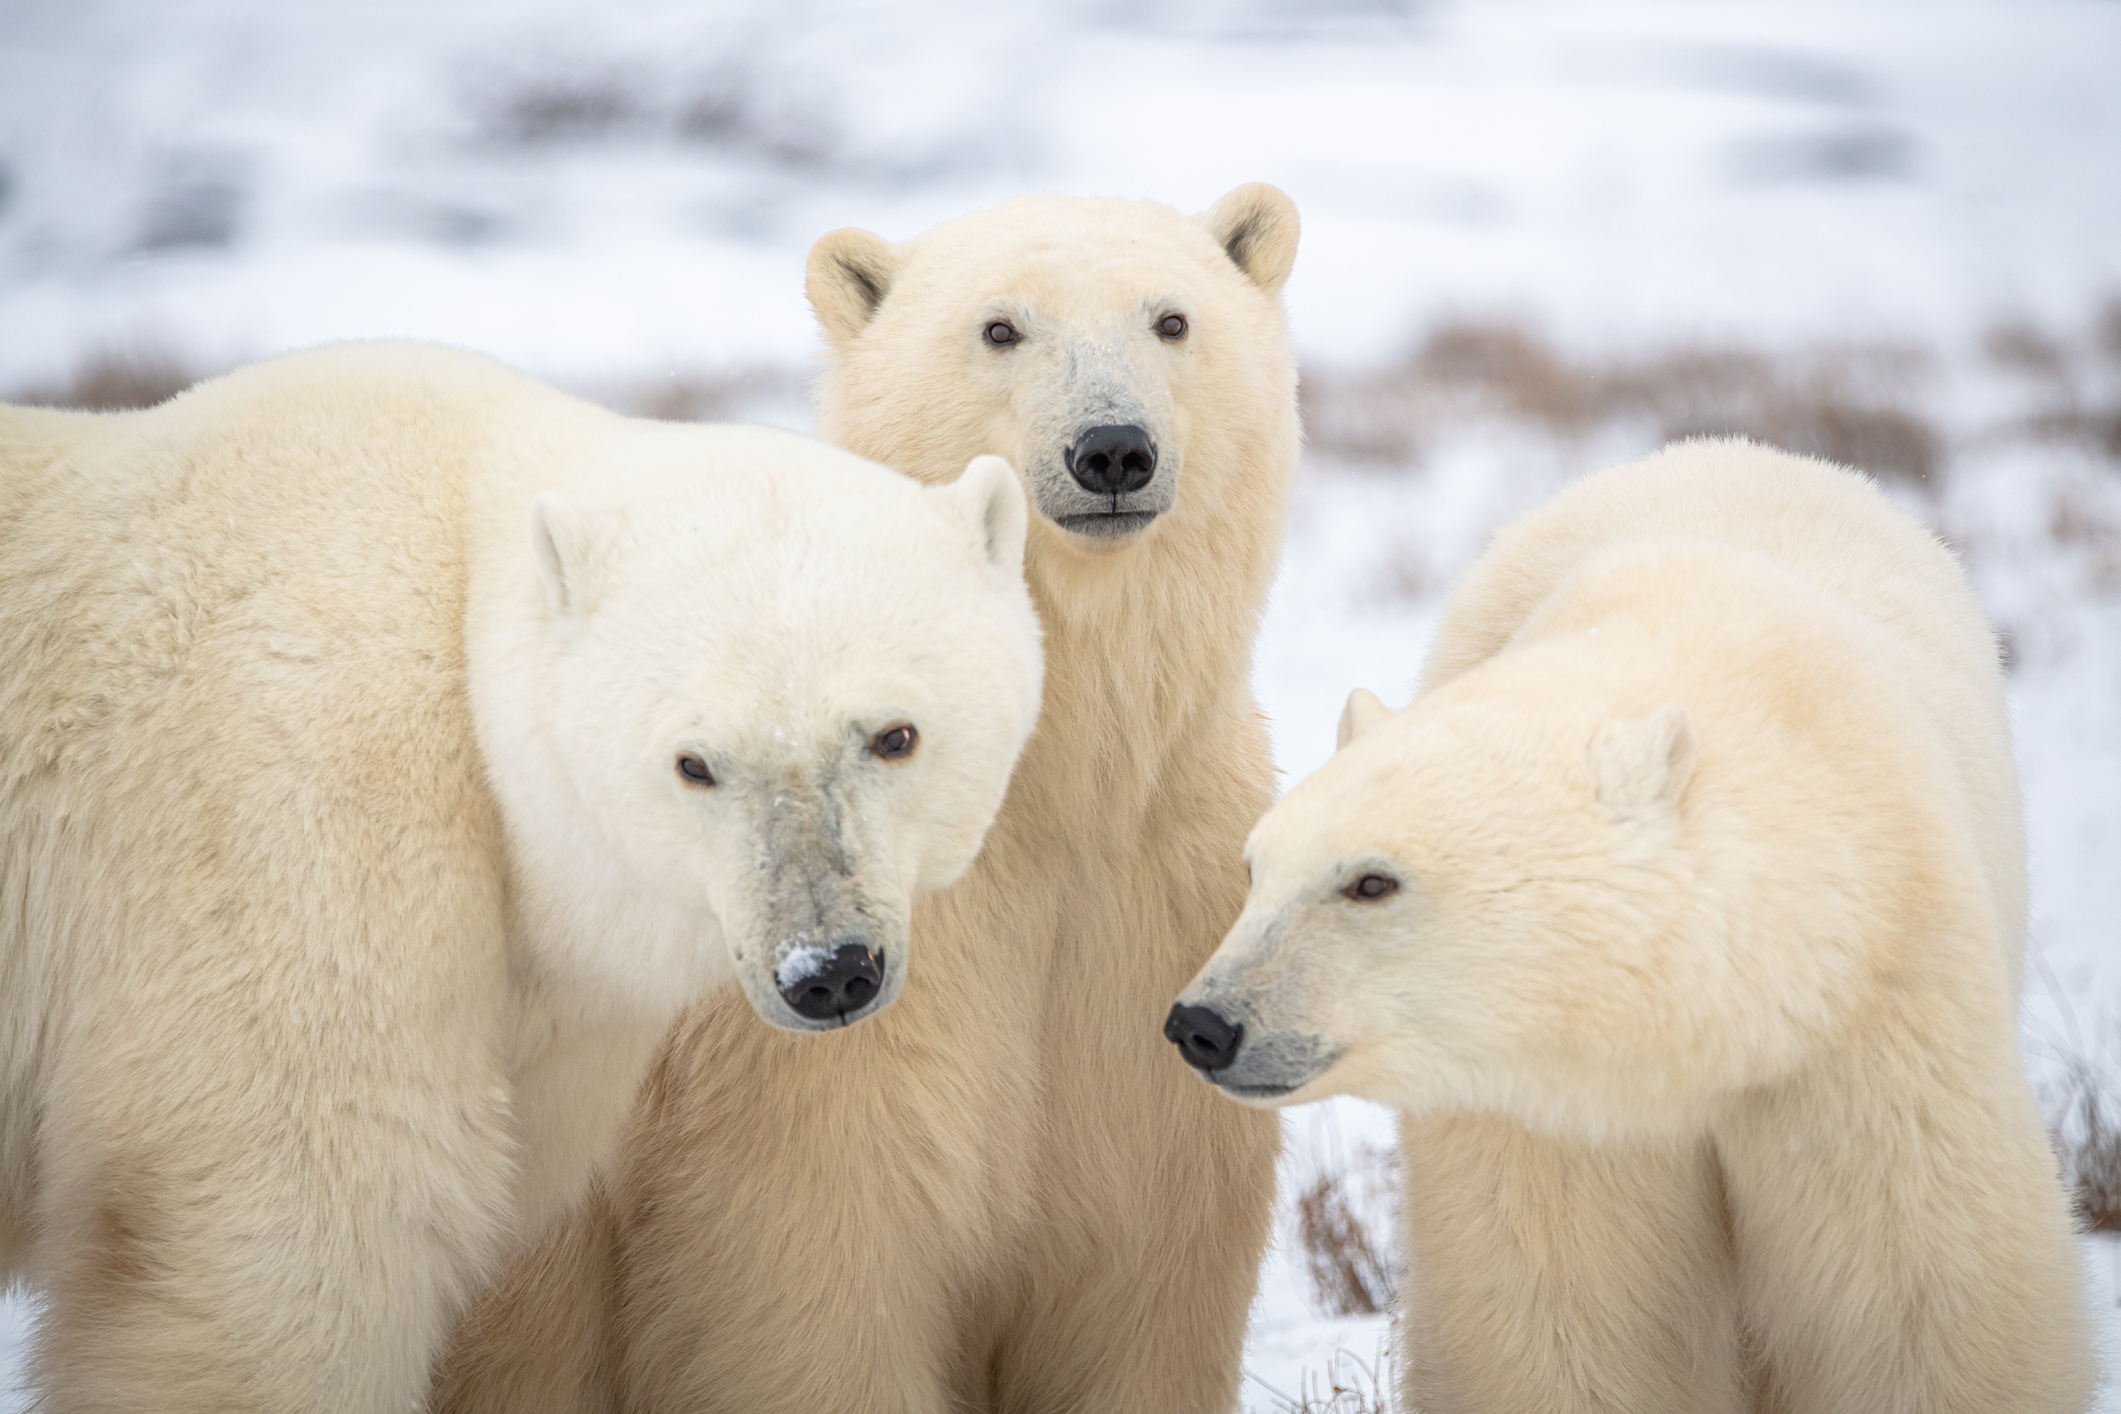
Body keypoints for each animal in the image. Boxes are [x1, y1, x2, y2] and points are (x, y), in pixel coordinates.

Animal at [439, 185, 1298, 1414]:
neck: (1050, 795)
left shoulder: (1160, 916)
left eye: (1172, 319)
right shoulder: (817, 1064)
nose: (1111, 450)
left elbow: (1137, 1299)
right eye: (1000, 327)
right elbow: (825, 1289)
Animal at [1170, 438, 2095, 1414]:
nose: (1205, 1023)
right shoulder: (1551, 1111)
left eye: (1371, 882)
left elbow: (1922, 1297)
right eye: (1254, 868)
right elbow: (1560, 1321)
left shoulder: (1869, 1019)